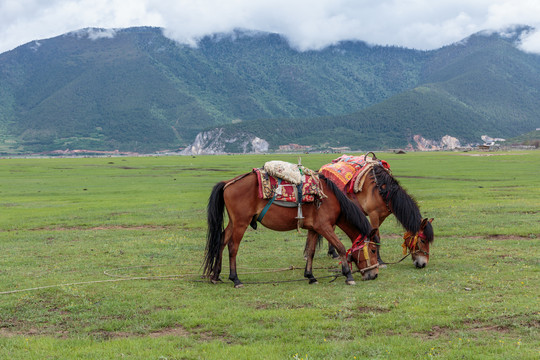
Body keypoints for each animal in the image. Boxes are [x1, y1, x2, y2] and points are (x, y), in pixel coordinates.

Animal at [204, 171, 380, 286]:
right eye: (373, 250)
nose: (374, 275)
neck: (330, 199)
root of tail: (228, 183)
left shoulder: (314, 228)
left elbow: (311, 251)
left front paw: (310, 276)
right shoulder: (325, 227)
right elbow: (341, 247)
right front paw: (348, 276)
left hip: (234, 222)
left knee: (221, 241)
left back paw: (215, 276)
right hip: (241, 222)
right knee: (233, 247)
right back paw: (235, 279)